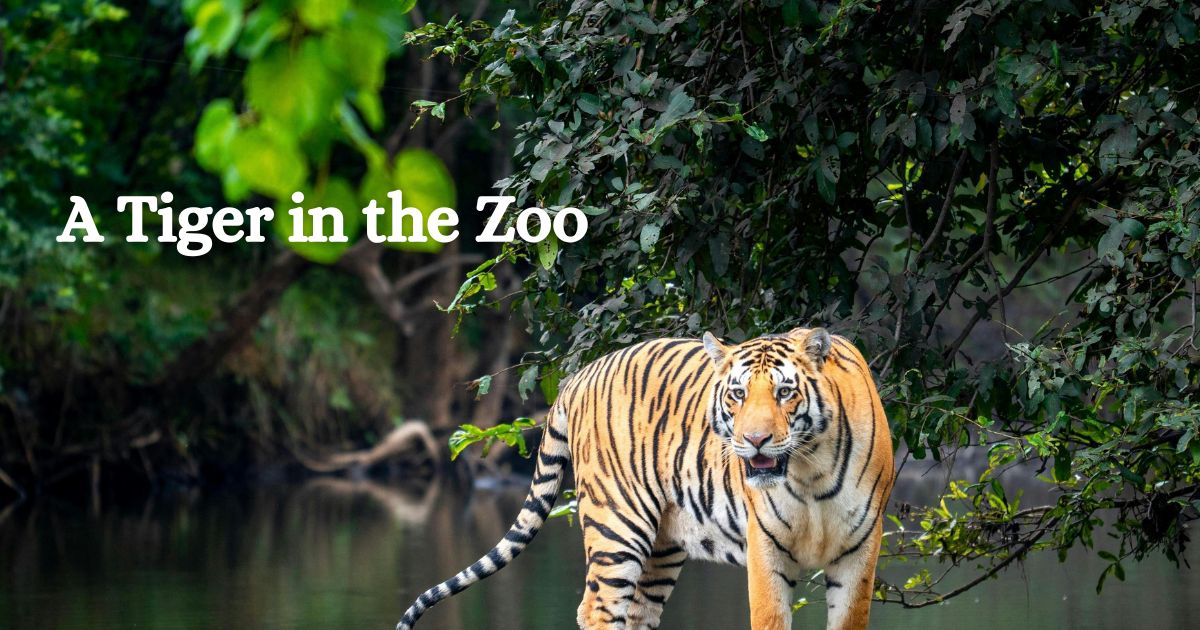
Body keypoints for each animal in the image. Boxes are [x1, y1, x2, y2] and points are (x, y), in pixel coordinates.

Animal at [397, 327, 895, 630]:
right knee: (597, 608)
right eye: (737, 394)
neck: (810, 473)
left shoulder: (859, 552)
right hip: (618, 526)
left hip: (663, 545)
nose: (754, 440)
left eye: (785, 392)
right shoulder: (767, 549)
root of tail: (579, 374)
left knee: (635, 614)